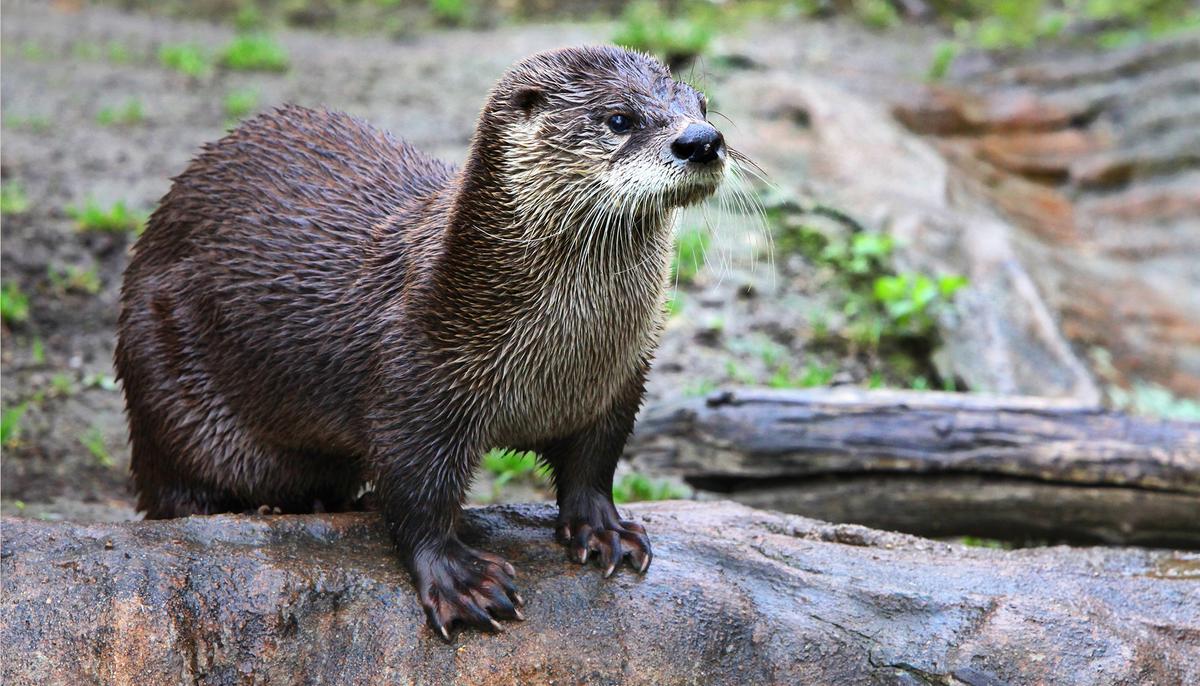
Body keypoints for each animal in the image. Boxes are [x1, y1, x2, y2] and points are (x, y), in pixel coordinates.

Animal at [115, 45, 726, 639]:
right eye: (618, 119)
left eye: (700, 105)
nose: (702, 141)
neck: (560, 362)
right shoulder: (413, 378)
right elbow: (415, 492)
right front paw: (460, 579)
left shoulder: (619, 384)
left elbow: (594, 465)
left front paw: (604, 529)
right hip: (162, 383)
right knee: (174, 491)